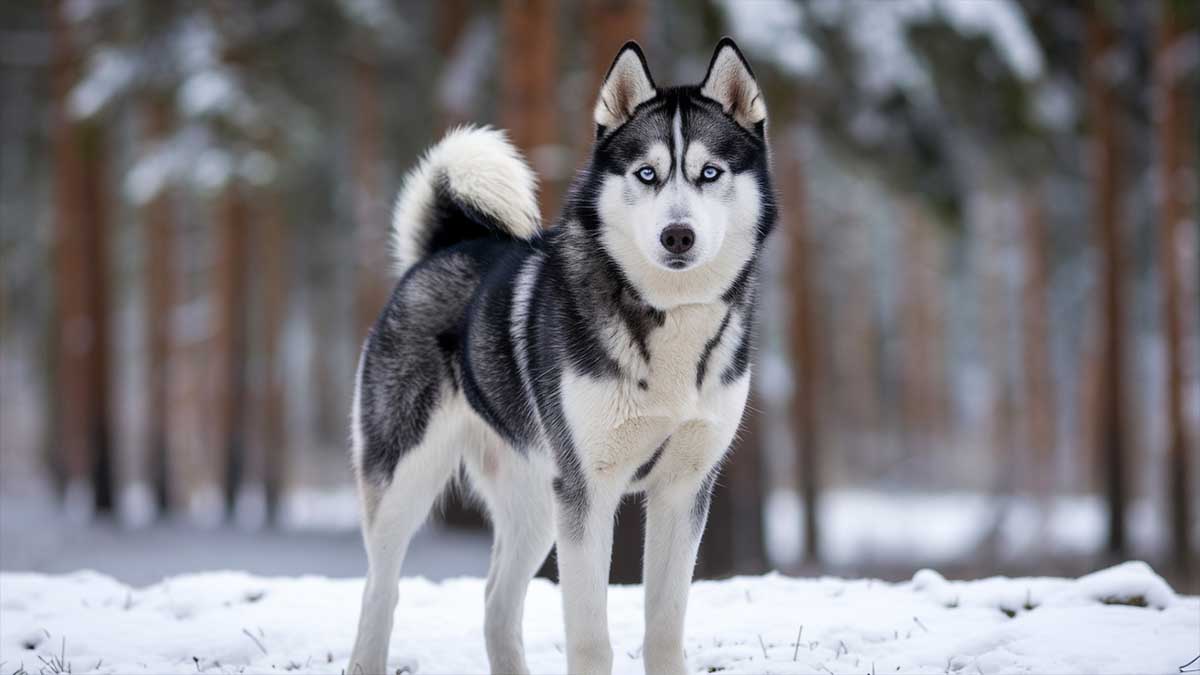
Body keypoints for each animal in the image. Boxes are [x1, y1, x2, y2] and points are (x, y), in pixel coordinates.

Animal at [348, 39, 777, 672]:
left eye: (709, 173)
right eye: (646, 173)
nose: (678, 235)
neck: (666, 315)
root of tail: (446, 246)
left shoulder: (683, 490)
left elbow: (665, 625)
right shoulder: (588, 492)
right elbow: (591, 637)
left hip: (533, 501)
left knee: (496, 602)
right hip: (407, 479)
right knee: (380, 591)